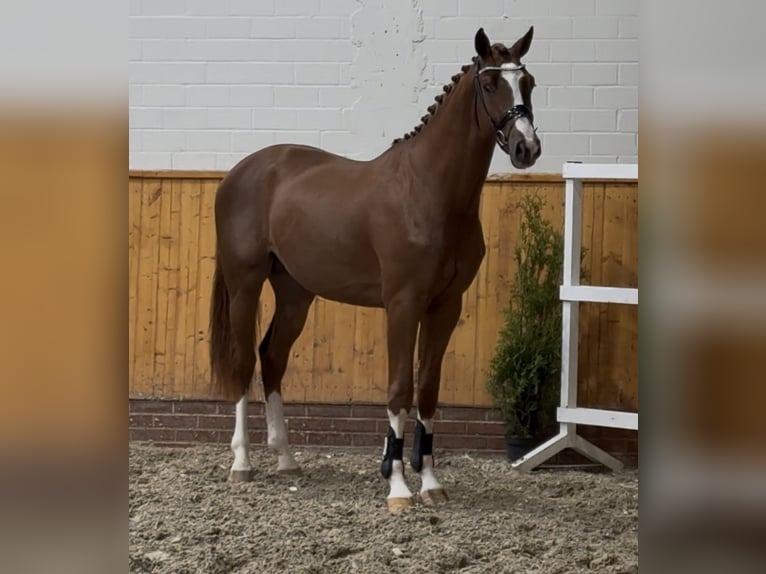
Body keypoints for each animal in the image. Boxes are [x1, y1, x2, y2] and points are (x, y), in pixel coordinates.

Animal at [209, 26, 541, 513]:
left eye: (528, 82)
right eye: (489, 83)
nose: (526, 147)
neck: (429, 192)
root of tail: (241, 172)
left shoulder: (445, 306)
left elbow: (427, 390)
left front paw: (431, 483)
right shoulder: (403, 304)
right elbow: (399, 388)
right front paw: (398, 486)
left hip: (295, 293)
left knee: (272, 358)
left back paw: (286, 459)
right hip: (245, 284)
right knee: (241, 360)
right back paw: (242, 463)